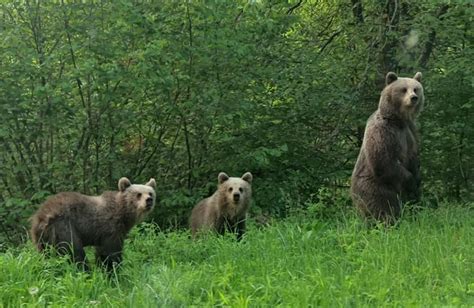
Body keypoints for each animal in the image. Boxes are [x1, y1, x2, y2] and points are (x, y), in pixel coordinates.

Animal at [350, 72, 424, 224]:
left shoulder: (411, 131)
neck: (399, 120)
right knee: (384, 207)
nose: (414, 98)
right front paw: (411, 181)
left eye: (416, 88)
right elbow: (383, 160)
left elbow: (413, 155)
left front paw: (417, 178)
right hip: (374, 186)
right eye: (403, 89)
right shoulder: (383, 131)